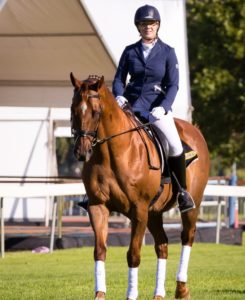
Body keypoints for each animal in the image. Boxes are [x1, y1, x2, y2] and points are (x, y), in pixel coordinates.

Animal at [70, 73, 210, 300]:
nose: (82, 152)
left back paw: (182, 289)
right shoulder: (98, 207)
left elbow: (133, 254)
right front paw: (100, 294)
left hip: (190, 205)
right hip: (154, 213)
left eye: (96, 112)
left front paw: (131, 294)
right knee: (162, 245)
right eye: (73, 109)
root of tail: (194, 129)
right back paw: (159, 294)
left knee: (187, 237)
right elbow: (100, 251)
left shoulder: (139, 210)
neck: (112, 154)